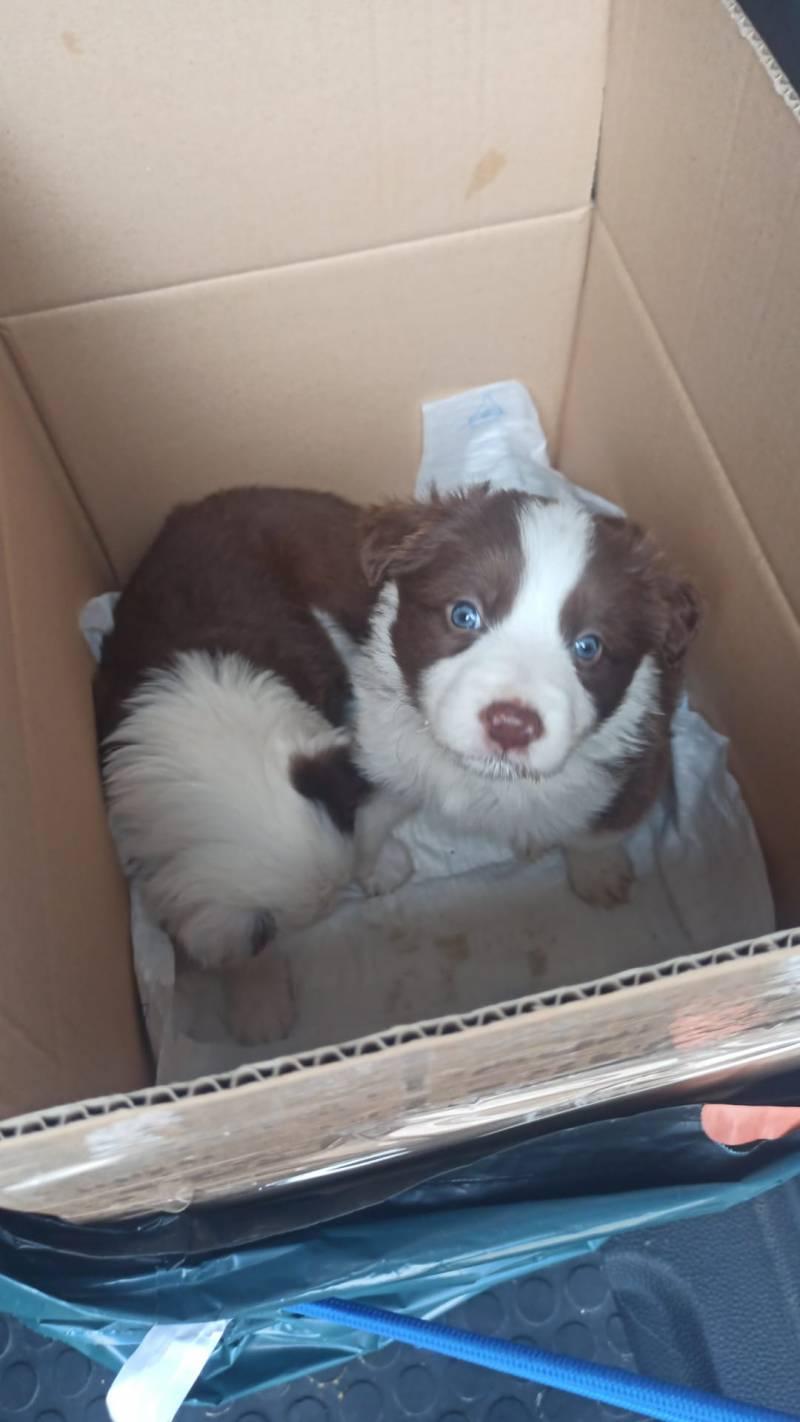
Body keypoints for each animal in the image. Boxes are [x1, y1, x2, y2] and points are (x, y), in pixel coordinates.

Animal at [350, 486, 700, 906]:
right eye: (464, 614)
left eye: (588, 646)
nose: (511, 725)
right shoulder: (384, 745)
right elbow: (372, 810)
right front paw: (375, 863)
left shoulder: (643, 764)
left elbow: (597, 830)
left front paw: (598, 871)